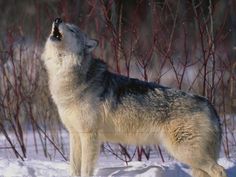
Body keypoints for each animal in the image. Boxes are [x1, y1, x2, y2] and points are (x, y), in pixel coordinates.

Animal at [42, 18, 227, 177]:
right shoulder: (75, 134)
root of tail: (210, 105)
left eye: (72, 29)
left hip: (186, 152)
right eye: (64, 24)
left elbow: (86, 170)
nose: (57, 19)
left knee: (220, 170)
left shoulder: (89, 136)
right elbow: (74, 168)